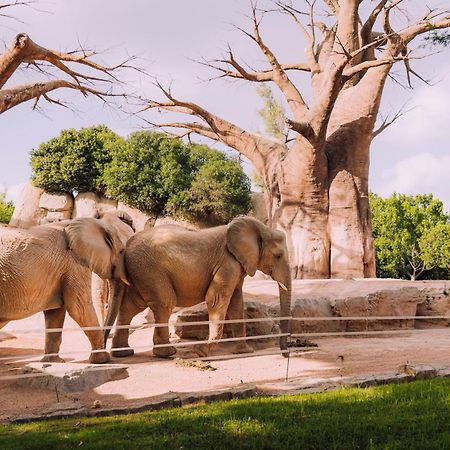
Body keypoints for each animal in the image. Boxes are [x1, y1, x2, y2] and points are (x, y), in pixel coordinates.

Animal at [0, 213, 133, 364]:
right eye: (121, 251)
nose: (107, 344)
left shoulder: (60, 270)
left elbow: (55, 313)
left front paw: (53, 363)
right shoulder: (74, 263)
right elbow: (79, 308)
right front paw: (102, 360)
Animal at [103, 216, 290, 360]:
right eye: (278, 256)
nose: (285, 353)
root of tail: (127, 245)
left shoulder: (236, 266)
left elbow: (236, 302)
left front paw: (244, 351)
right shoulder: (227, 263)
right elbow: (216, 299)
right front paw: (200, 352)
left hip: (140, 272)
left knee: (131, 306)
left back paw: (123, 353)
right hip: (149, 270)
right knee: (164, 303)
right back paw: (167, 353)